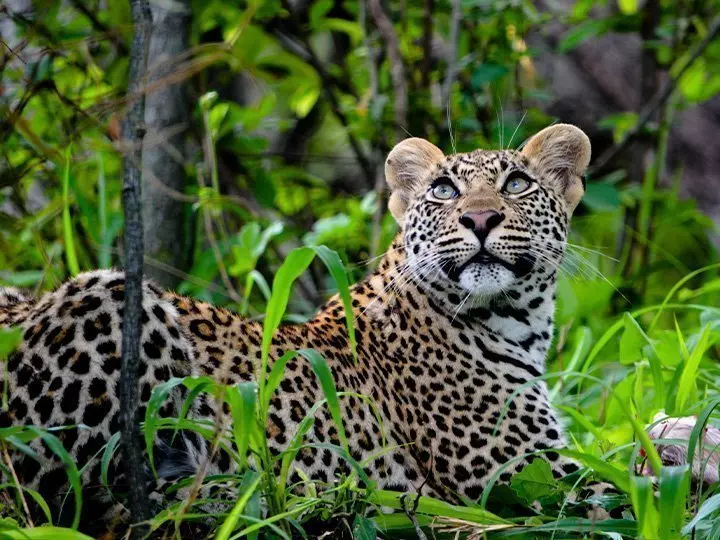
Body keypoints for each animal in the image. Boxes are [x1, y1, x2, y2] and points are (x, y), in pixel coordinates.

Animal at [0, 124, 618, 532]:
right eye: (444, 190)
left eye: (516, 184)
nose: (481, 218)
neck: (516, 319)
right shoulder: (520, 472)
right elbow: (624, 490)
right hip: (107, 294)